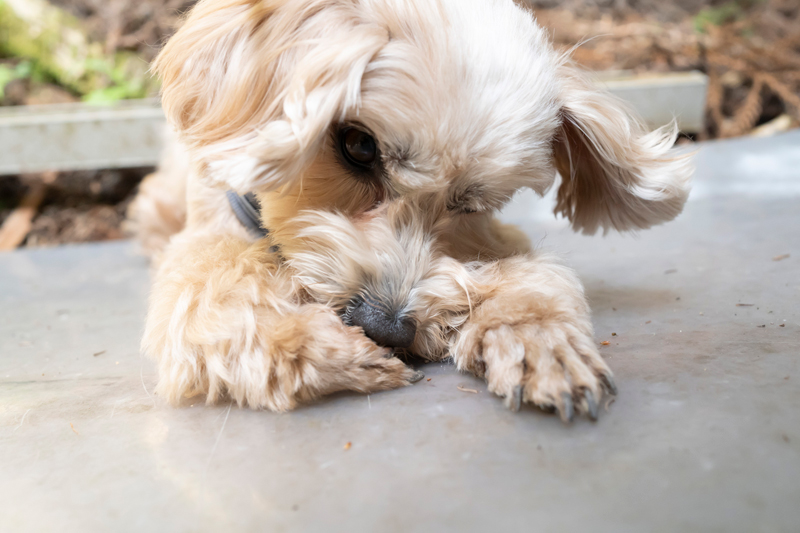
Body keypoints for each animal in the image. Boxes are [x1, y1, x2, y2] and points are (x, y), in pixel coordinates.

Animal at [128, 0, 692, 424]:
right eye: (358, 145)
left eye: (470, 204)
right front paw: (326, 350)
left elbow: (527, 274)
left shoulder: (493, 235)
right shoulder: (213, 236)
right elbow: (213, 295)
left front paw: (536, 335)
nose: (385, 329)